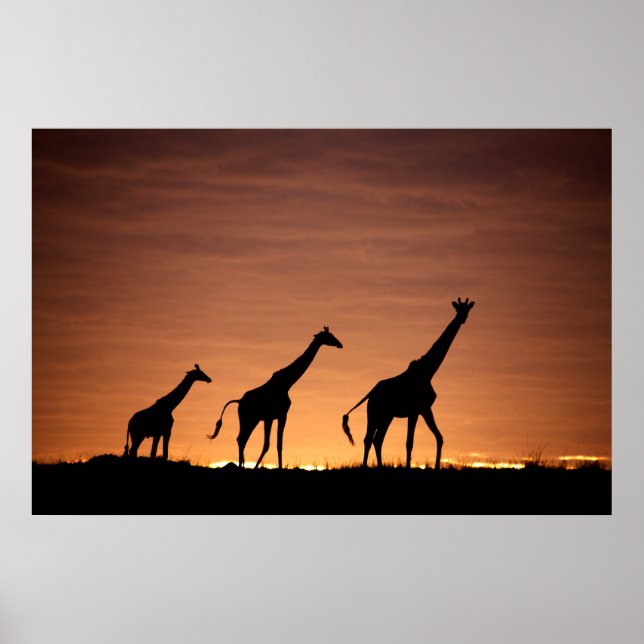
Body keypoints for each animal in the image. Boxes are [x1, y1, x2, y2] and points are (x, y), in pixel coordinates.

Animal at [207, 327, 343, 469]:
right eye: (329, 336)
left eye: (332, 334)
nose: (340, 344)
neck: (287, 383)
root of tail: (239, 401)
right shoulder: (278, 416)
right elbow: (273, 445)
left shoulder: (275, 417)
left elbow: (274, 445)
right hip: (248, 419)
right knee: (241, 439)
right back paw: (241, 467)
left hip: (252, 420)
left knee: (241, 439)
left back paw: (242, 466)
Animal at [342, 298, 475, 469]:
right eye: (458, 309)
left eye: (467, 309)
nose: (462, 318)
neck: (428, 371)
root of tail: (370, 393)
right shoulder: (415, 410)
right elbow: (409, 442)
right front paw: (408, 467)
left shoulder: (425, 409)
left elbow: (439, 437)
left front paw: (436, 466)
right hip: (374, 412)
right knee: (369, 438)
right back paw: (365, 466)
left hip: (387, 415)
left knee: (377, 439)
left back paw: (380, 466)